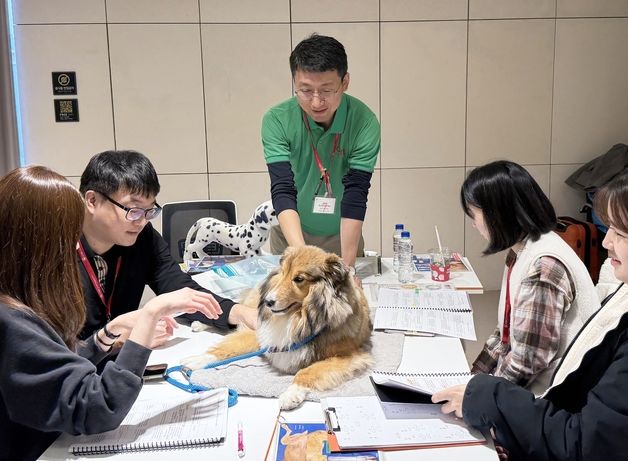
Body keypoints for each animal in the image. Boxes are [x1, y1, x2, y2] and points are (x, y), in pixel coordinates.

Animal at [179, 246, 370, 408]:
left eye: (299, 279)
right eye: (283, 273)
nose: (268, 302)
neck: (298, 318)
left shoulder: (348, 356)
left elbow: (308, 371)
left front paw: (291, 394)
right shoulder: (261, 333)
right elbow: (229, 347)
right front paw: (198, 360)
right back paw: (201, 321)